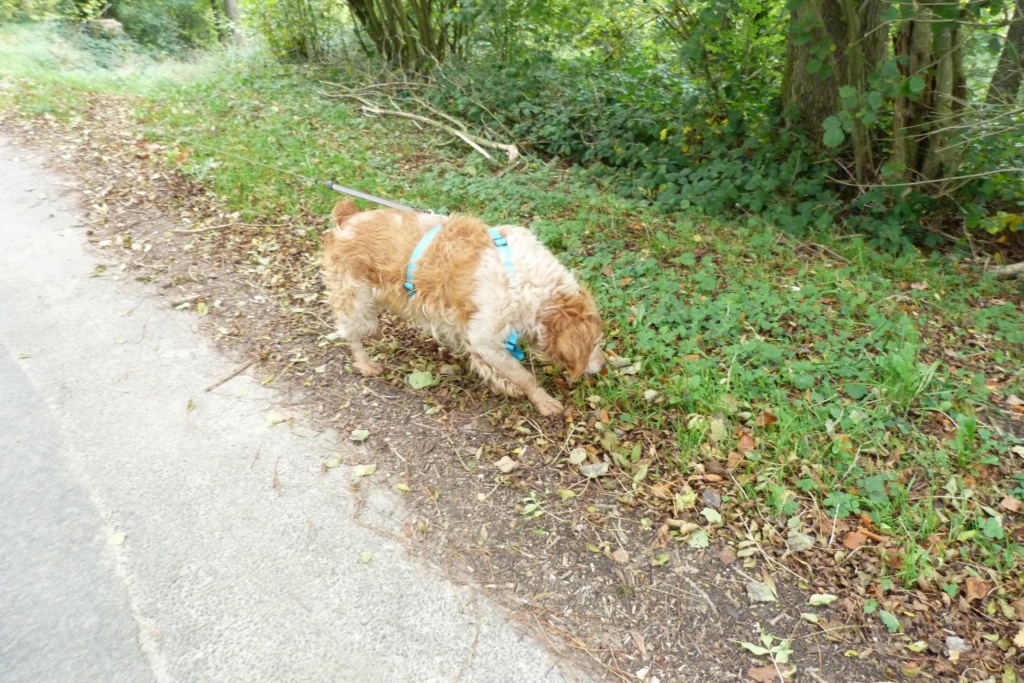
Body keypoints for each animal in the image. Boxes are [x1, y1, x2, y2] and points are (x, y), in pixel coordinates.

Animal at [319, 194, 602, 413]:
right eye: (594, 344)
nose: (603, 367)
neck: (524, 281)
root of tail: (348, 218)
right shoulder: (484, 337)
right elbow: (524, 376)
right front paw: (543, 401)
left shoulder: (480, 336)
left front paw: (501, 383)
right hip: (356, 302)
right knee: (350, 333)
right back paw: (366, 364)